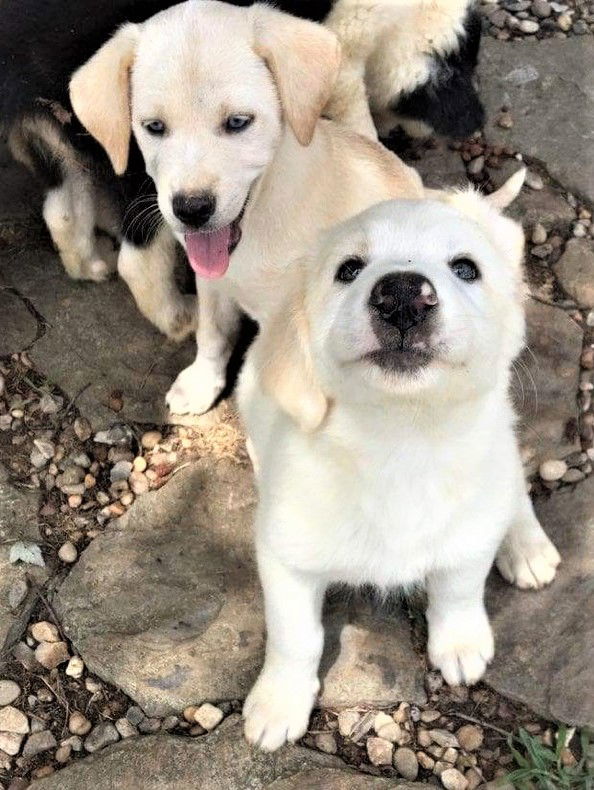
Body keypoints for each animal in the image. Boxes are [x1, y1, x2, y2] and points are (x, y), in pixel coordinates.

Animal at [237, 170, 560, 752]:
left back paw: (526, 545)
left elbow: (458, 587)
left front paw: (460, 642)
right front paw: (279, 701)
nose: (403, 294)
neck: (400, 441)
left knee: (512, 483)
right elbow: (295, 634)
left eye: (465, 268)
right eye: (348, 269)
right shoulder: (284, 555)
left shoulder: (469, 538)